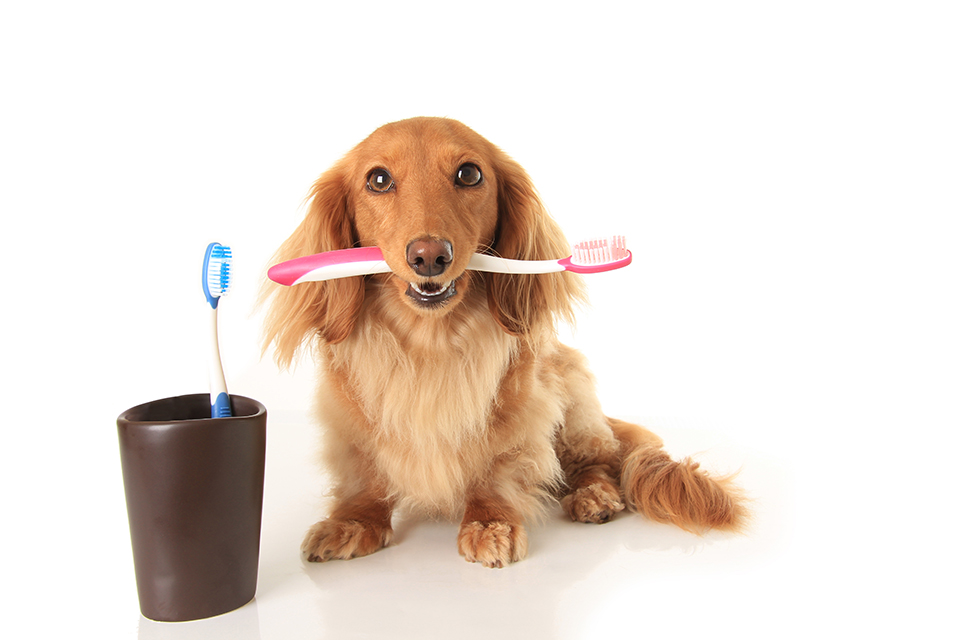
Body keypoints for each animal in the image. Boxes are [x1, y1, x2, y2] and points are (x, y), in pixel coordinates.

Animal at [264, 117, 752, 568]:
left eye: (469, 174)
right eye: (378, 180)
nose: (429, 256)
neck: (431, 344)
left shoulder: (519, 411)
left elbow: (495, 469)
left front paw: (489, 522)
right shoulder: (352, 420)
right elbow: (365, 477)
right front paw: (353, 521)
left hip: (571, 403)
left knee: (598, 461)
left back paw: (594, 496)